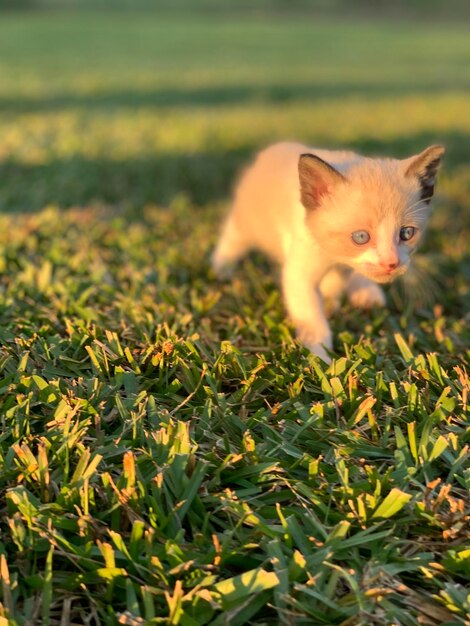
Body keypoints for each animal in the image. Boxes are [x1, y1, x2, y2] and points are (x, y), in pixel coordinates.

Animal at [213, 139, 444, 358]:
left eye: (406, 234)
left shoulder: (344, 264)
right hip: (248, 222)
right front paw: (319, 357)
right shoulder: (301, 271)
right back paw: (221, 268)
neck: (333, 255)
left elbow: (338, 281)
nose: (391, 263)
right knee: (232, 237)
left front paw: (331, 300)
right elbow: (311, 317)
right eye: (361, 237)